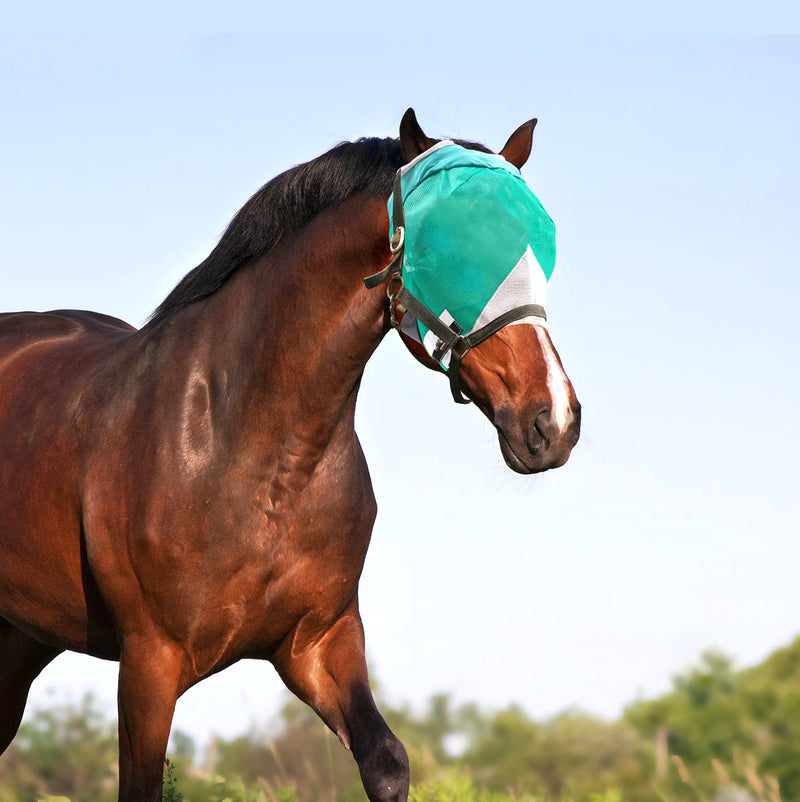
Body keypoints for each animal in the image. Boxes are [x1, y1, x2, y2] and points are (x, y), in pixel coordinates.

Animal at [0, 109, 580, 802]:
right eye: (451, 252)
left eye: (538, 248)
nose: (554, 419)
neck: (251, 453)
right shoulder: (149, 662)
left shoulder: (319, 643)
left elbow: (386, 760)